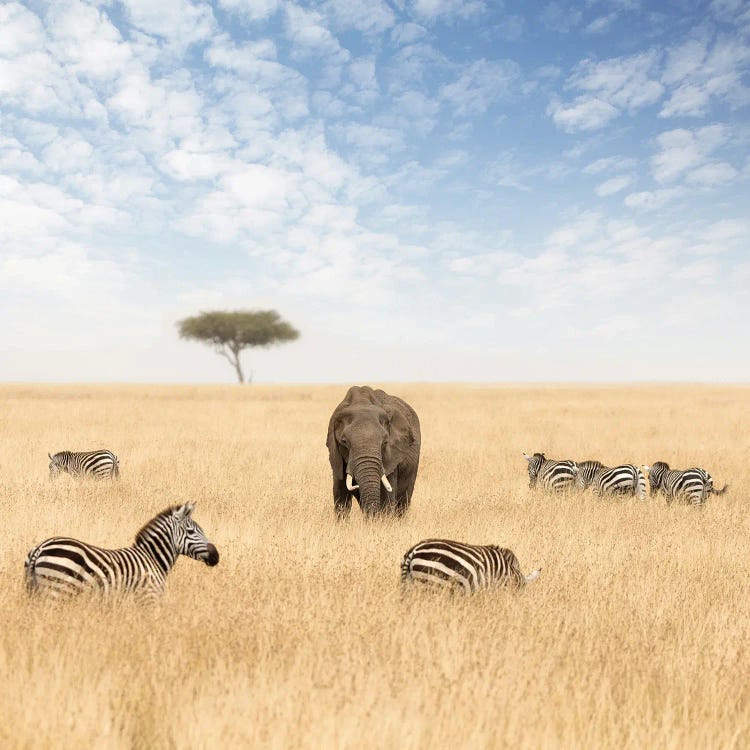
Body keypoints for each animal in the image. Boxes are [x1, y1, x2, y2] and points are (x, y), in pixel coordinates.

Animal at [25, 506, 219, 604]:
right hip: (57, 592)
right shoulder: (148, 598)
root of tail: (40, 548)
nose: (216, 556)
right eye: (191, 531)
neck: (153, 559)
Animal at [328, 384, 426, 520]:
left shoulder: (390, 458)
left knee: (403, 502)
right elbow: (340, 497)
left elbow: (386, 499)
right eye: (344, 442)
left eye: (385, 442)